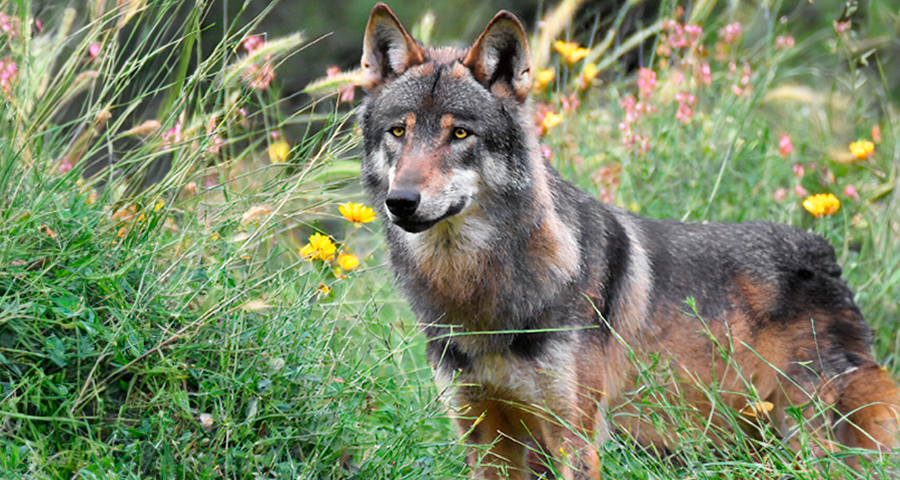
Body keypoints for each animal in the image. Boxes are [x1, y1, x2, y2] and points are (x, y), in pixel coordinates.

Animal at [356, 4, 896, 480]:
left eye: (460, 134)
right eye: (398, 131)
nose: (401, 201)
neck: (479, 296)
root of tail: (824, 254)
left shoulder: (574, 439)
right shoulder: (486, 438)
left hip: (810, 443)